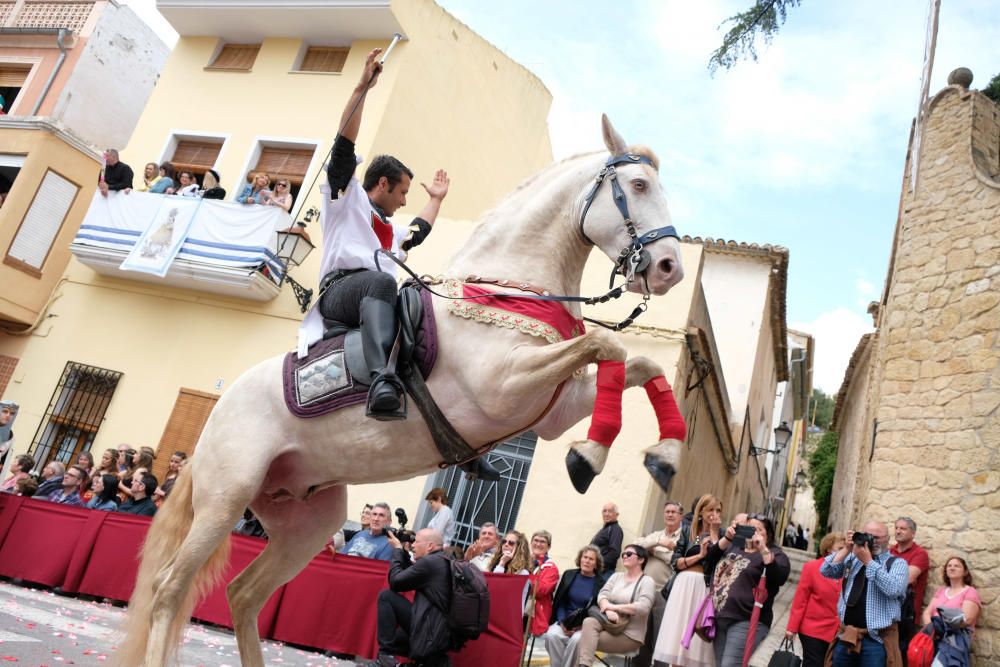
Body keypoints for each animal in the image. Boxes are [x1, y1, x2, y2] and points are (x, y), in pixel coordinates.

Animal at [113, 117, 684, 664]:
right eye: (638, 185)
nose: (669, 269)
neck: (501, 290)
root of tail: (216, 416)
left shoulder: (551, 411)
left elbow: (637, 361)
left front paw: (662, 455)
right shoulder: (505, 386)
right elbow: (607, 345)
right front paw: (589, 457)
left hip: (305, 521)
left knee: (244, 595)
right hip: (225, 499)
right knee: (169, 588)